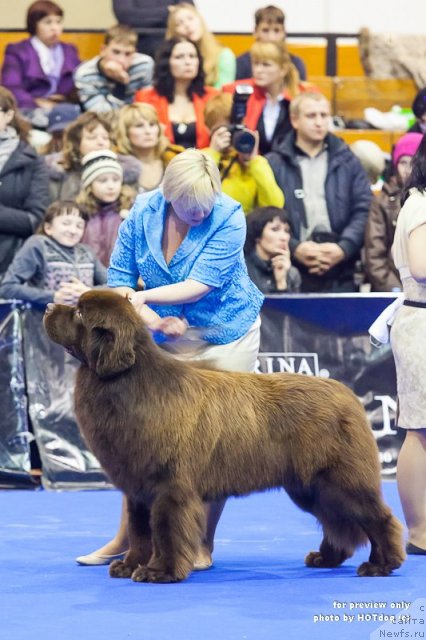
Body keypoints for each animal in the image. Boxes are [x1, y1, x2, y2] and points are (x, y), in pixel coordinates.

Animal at [44, 292, 406, 584]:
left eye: (79, 313)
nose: (47, 306)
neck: (130, 381)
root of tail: (348, 394)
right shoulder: (137, 488)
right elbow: (139, 531)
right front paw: (129, 565)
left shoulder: (168, 488)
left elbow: (164, 530)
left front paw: (159, 571)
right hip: (310, 487)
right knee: (336, 523)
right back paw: (326, 558)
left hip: (339, 481)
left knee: (377, 518)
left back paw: (381, 565)